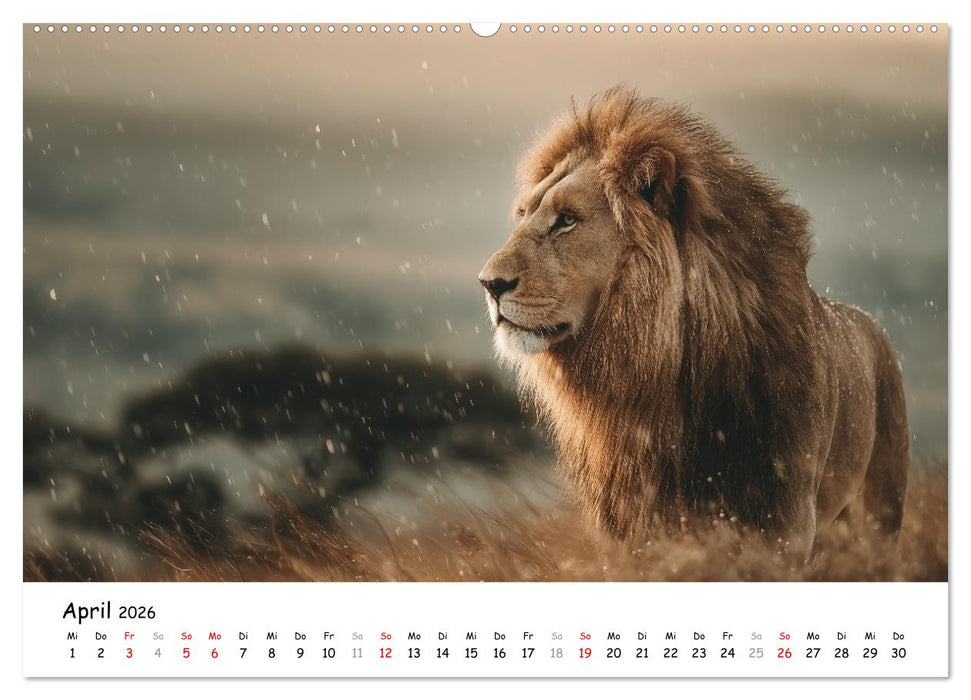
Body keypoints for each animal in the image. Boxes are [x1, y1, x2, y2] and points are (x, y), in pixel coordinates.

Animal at [478, 87, 910, 555]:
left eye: (567, 220)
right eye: (524, 214)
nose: (488, 283)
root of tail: (871, 324)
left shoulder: (784, 522)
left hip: (881, 512)